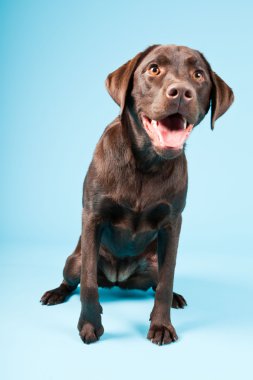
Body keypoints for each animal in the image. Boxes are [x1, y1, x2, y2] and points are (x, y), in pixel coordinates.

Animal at [41, 43, 233, 344]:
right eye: (153, 69)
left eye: (198, 75)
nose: (181, 92)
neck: (146, 163)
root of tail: (119, 278)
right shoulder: (92, 216)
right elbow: (89, 284)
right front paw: (89, 325)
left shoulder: (172, 224)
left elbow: (166, 280)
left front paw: (162, 325)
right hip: (74, 260)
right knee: (73, 279)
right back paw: (56, 293)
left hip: (152, 263)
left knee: (159, 281)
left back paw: (175, 297)